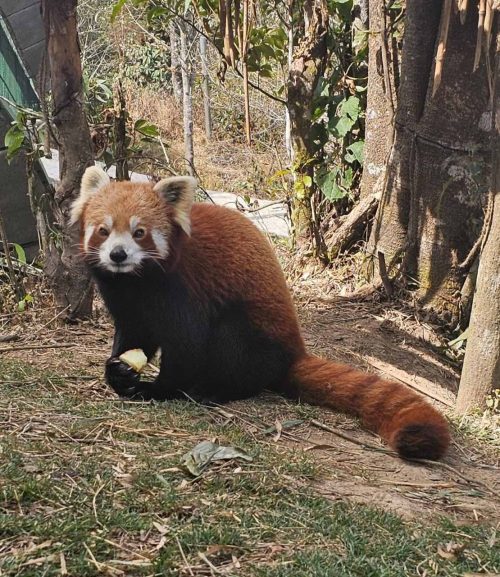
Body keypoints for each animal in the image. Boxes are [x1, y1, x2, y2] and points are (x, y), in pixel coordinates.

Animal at [71, 165, 454, 460]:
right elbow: (134, 336)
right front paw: (119, 371)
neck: (137, 283)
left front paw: (160, 389)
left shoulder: (184, 289)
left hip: (253, 335)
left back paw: (214, 390)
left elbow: (186, 346)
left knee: (232, 343)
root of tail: (293, 353)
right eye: (104, 230)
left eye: (139, 232)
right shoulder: (127, 301)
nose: (118, 254)